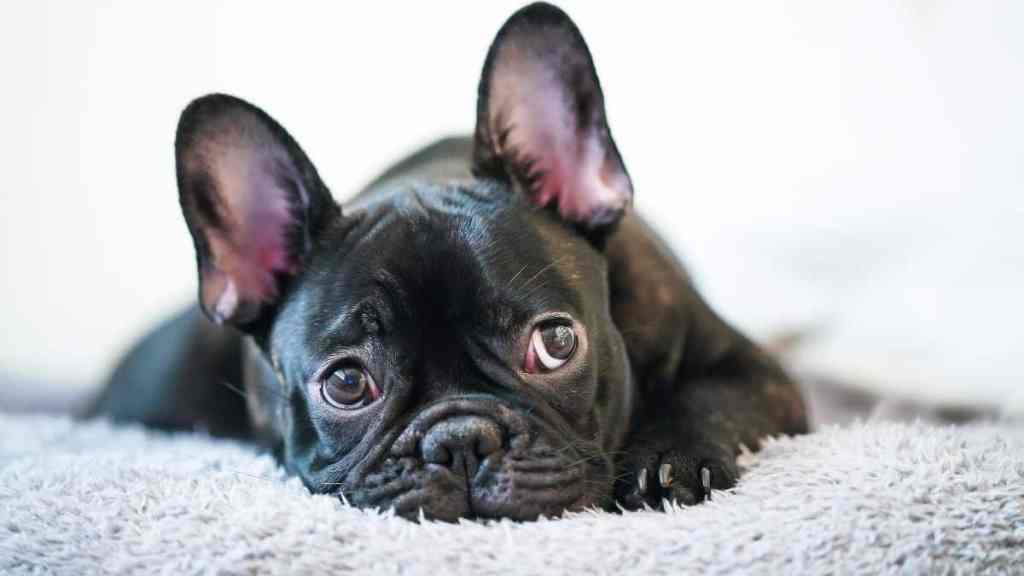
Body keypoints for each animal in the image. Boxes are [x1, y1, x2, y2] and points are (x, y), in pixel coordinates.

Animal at [89, 3, 808, 521]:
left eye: (555, 343)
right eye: (345, 383)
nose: (460, 441)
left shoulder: (755, 371)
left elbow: (712, 399)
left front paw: (669, 459)